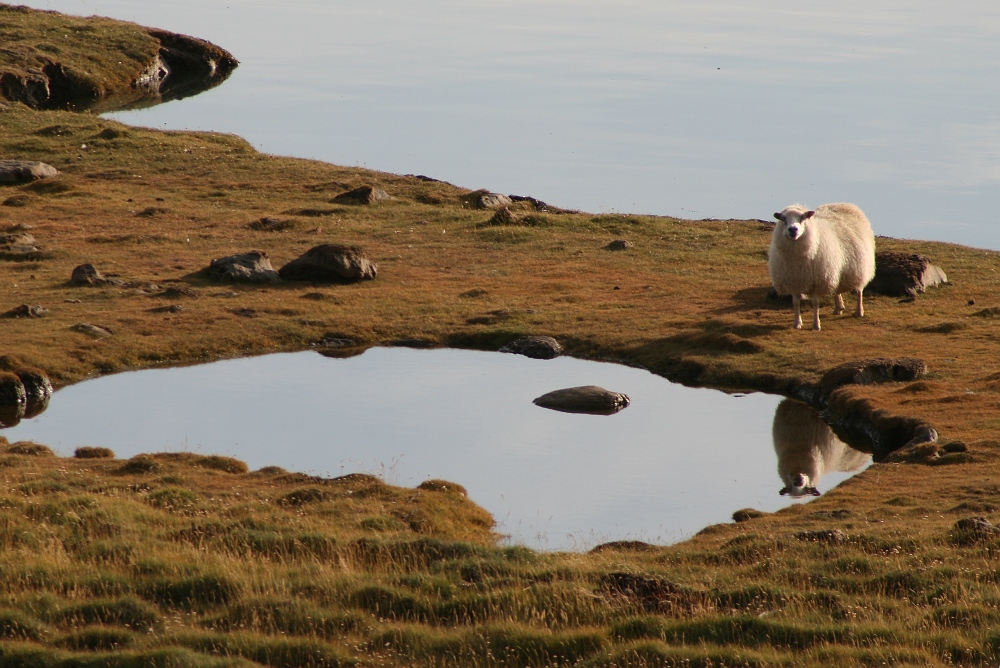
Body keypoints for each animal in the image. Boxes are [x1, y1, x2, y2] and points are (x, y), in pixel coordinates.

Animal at [768, 202, 872, 330]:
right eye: (783, 219)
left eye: (803, 218)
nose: (793, 229)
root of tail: (843, 204)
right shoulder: (795, 281)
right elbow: (796, 302)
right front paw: (797, 323)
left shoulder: (817, 281)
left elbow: (815, 303)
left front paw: (816, 325)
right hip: (834, 269)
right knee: (837, 289)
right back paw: (838, 308)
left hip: (859, 265)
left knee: (859, 290)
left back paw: (859, 311)